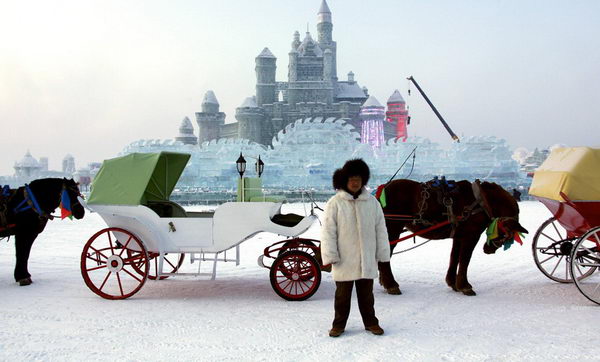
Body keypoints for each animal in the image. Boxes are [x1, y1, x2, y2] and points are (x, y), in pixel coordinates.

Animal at [378, 177, 528, 294]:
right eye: (506, 235)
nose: (488, 250)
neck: (482, 201)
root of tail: (383, 189)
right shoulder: (471, 236)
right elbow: (465, 259)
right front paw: (465, 286)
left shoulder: (459, 236)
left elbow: (454, 257)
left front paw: (452, 282)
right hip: (392, 228)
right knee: (385, 255)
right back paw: (391, 284)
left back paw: (384, 281)